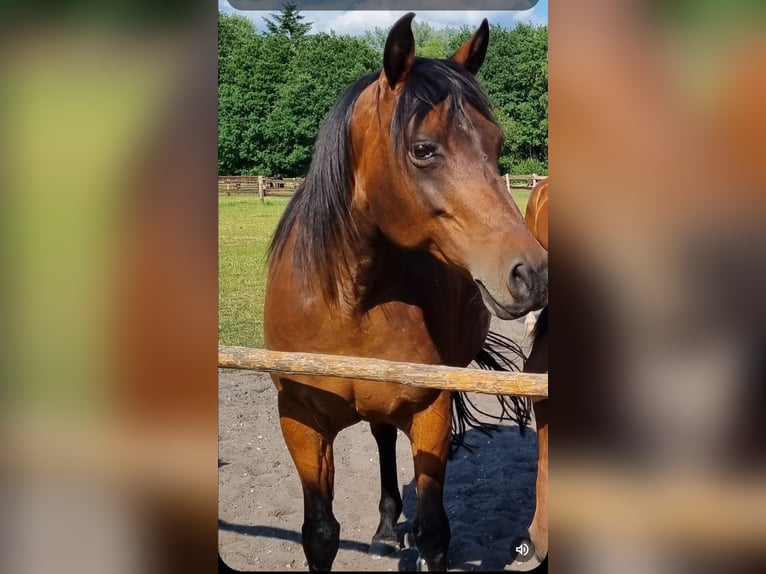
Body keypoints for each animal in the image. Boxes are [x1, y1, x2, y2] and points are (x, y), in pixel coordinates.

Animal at [268, 12, 548, 572]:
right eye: (423, 149)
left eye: (496, 145)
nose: (530, 273)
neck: (346, 303)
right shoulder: (300, 423)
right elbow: (320, 534)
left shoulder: (429, 410)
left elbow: (434, 532)